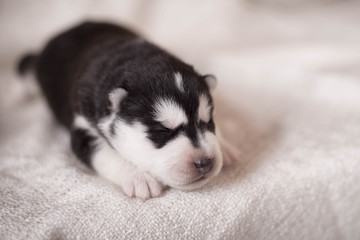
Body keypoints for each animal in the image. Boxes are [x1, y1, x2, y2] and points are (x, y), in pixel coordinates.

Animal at [19, 21, 239, 200]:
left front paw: (225, 146)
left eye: (208, 122)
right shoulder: (84, 128)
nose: (205, 162)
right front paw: (140, 178)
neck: (135, 58)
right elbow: (107, 154)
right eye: (163, 130)